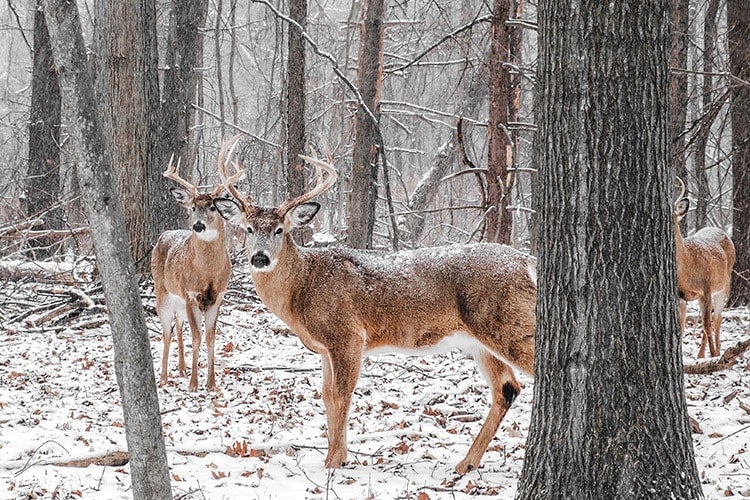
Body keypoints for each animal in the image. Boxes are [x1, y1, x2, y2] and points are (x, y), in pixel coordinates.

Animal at [151, 141, 245, 390]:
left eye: (213, 207)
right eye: (193, 207)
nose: (198, 226)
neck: (207, 274)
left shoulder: (217, 297)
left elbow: (211, 338)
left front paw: (211, 383)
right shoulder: (191, 295)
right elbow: (197, 337)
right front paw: (194, 384)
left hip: (178, 302)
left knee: (178, 326)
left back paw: (182, 369)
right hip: (163, 293)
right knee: (166, 332)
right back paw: (163, 377)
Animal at [214, 143, 536, 474]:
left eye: (280, 230)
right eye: (248, 229)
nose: (260, 258)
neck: (303, 289)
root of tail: (527, 262)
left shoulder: (348, 335)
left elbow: (342, 394)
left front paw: (336, 460)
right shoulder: (325, 347)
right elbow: (326, 396)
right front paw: (331, 456)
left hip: (509, 322)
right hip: (479, 341)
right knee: (507, 387)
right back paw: (466, 463)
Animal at [672, 178, 736, 358]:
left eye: (672, 217)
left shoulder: (705, 288)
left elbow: (707, 324)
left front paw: (714, 355)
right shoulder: (680, 296)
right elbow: (681, 325)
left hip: (723, 285)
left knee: (717, 318)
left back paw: (717, 352)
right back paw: (700, 355)